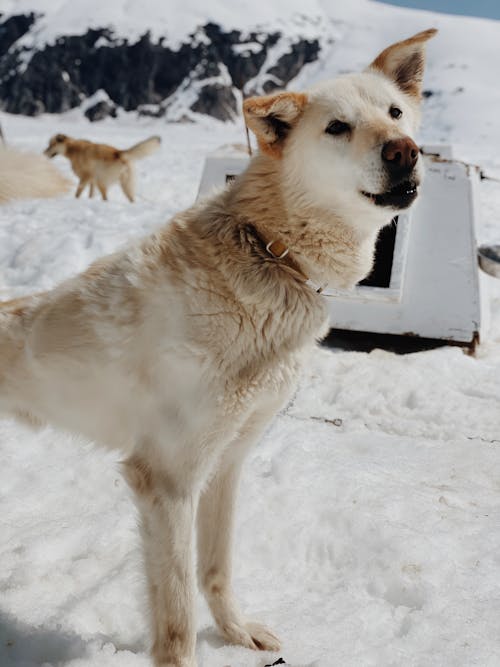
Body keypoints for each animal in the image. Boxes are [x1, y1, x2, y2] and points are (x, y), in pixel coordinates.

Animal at [0, 28, 436, 664]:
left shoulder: (228, 462)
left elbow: (216, 569)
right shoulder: (167, 480)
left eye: (395, 113)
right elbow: (178, 612)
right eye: (337, 127)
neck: (269, 253)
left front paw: (236, 634)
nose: (404, 151)